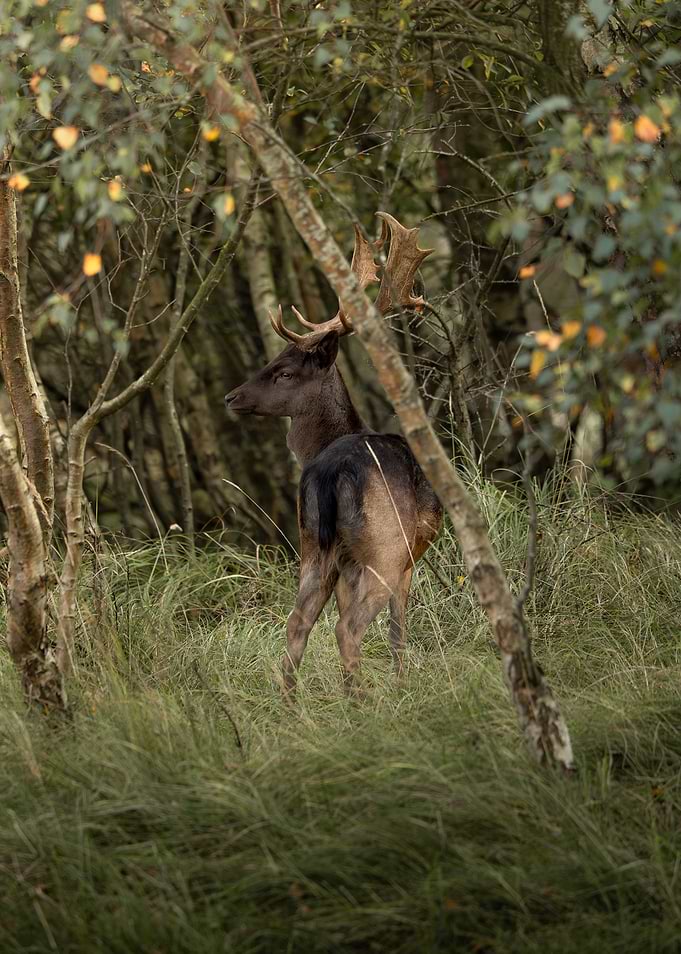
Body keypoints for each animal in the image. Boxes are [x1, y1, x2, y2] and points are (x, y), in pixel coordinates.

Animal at [225, 212, 443, 696]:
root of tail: (327, 472)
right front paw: (403, 685)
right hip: (383, 546)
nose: (230, 396)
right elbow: (399, 629)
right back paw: (361, 699)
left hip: (312, 546)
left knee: (298, 622)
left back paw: (295, 700)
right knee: (349, 628)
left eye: (284, 370)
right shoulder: (406, 561)